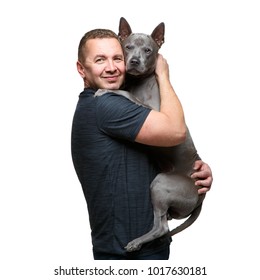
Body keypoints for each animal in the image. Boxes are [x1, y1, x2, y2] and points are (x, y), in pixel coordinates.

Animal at [94, 17, 206, 252]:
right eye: (127, 47)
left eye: (148, 50)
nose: (135, 61)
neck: (139, 81)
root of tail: (202, 195)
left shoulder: (153, 111)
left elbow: (124, 92)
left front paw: (104, 91)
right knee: (164, 220)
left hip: (161, 183)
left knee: (161, 226)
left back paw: (136, 242)